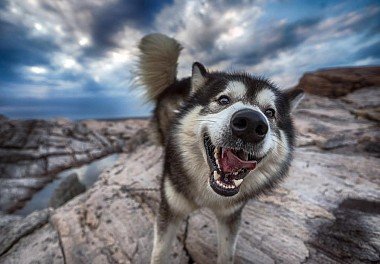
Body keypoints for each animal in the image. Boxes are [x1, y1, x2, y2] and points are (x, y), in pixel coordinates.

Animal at [137, 33, 302, 264]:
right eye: (223, 99)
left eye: (270, 112)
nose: (251, 124)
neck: (209, 193)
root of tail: (178, 82)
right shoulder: (170, 210)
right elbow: (160, 253)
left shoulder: (230, 216)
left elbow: (226, 254)